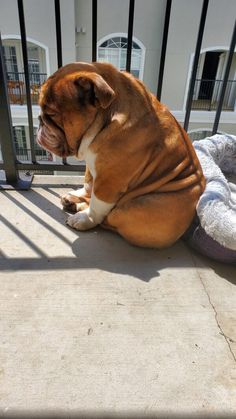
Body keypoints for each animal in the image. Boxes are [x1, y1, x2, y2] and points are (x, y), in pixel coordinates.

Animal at [37, 60, 205, 248]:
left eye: (52, 114)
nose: (39, 119)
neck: (106, 116)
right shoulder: (93, 164)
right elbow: (89, 182)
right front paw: (79, 194)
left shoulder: (109, 180)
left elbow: (97, 204)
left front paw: (86, 218)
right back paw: (72, 200)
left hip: (134, 208)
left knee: (110, 217)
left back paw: (78, 211)